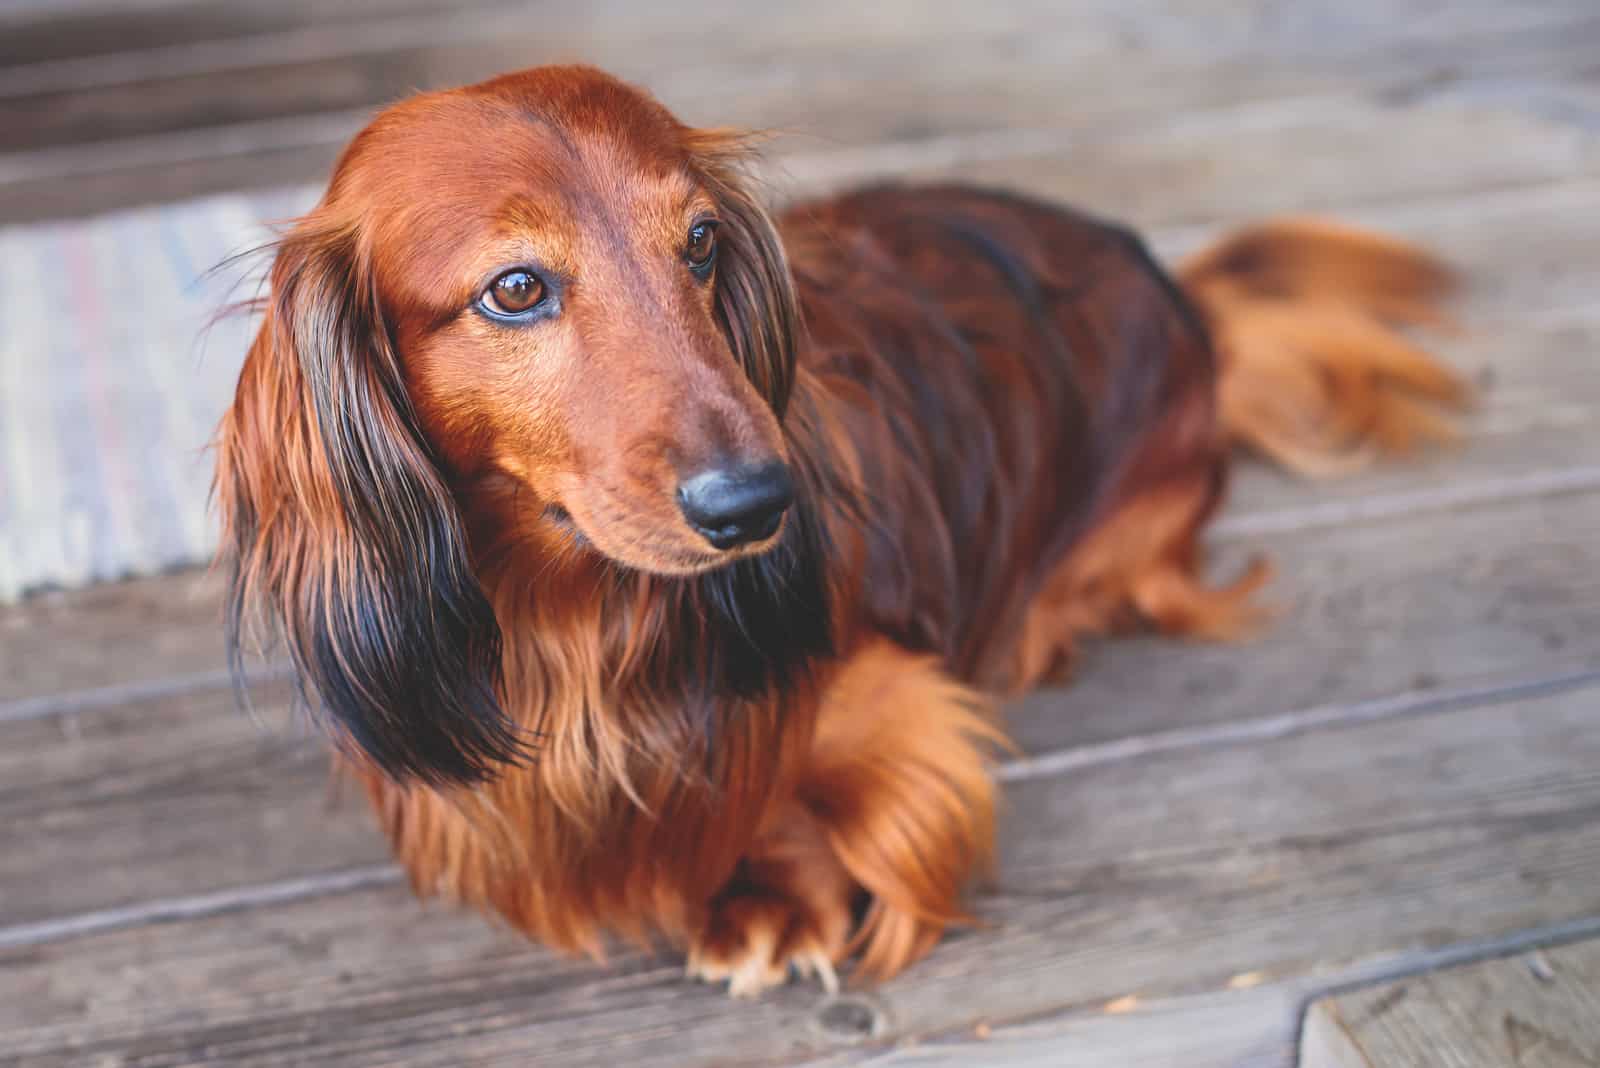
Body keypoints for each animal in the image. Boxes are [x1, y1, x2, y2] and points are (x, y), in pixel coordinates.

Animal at [212, 62, 1465, 997]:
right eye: (515, 289)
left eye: (700, 244)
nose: (757, 505)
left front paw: (775, 899)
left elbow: (802, 774)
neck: (576, 619)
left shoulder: (877, 691)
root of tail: (1181, 297)